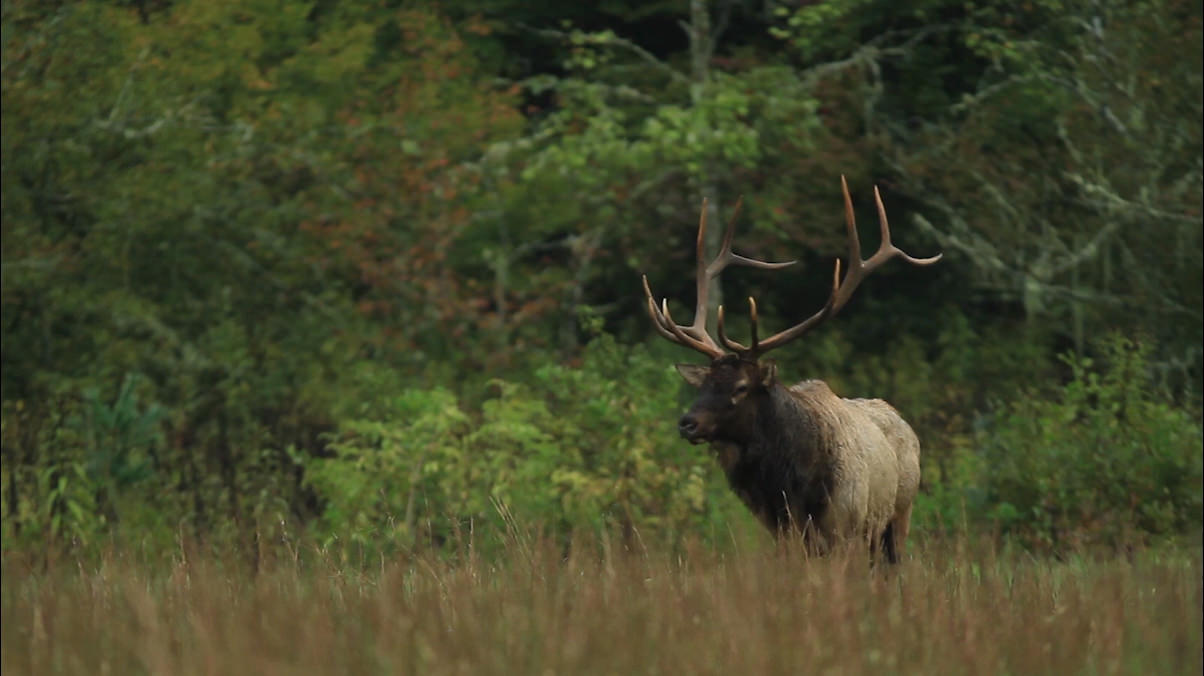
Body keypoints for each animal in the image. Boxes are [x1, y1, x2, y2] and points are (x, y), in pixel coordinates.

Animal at [640, 177, 939, 561]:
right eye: (703, 383)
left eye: (740, 387)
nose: (687, 423)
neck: (793, 487)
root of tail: (905, 422)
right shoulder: (781, 531)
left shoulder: (843, 527)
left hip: (898, 516)